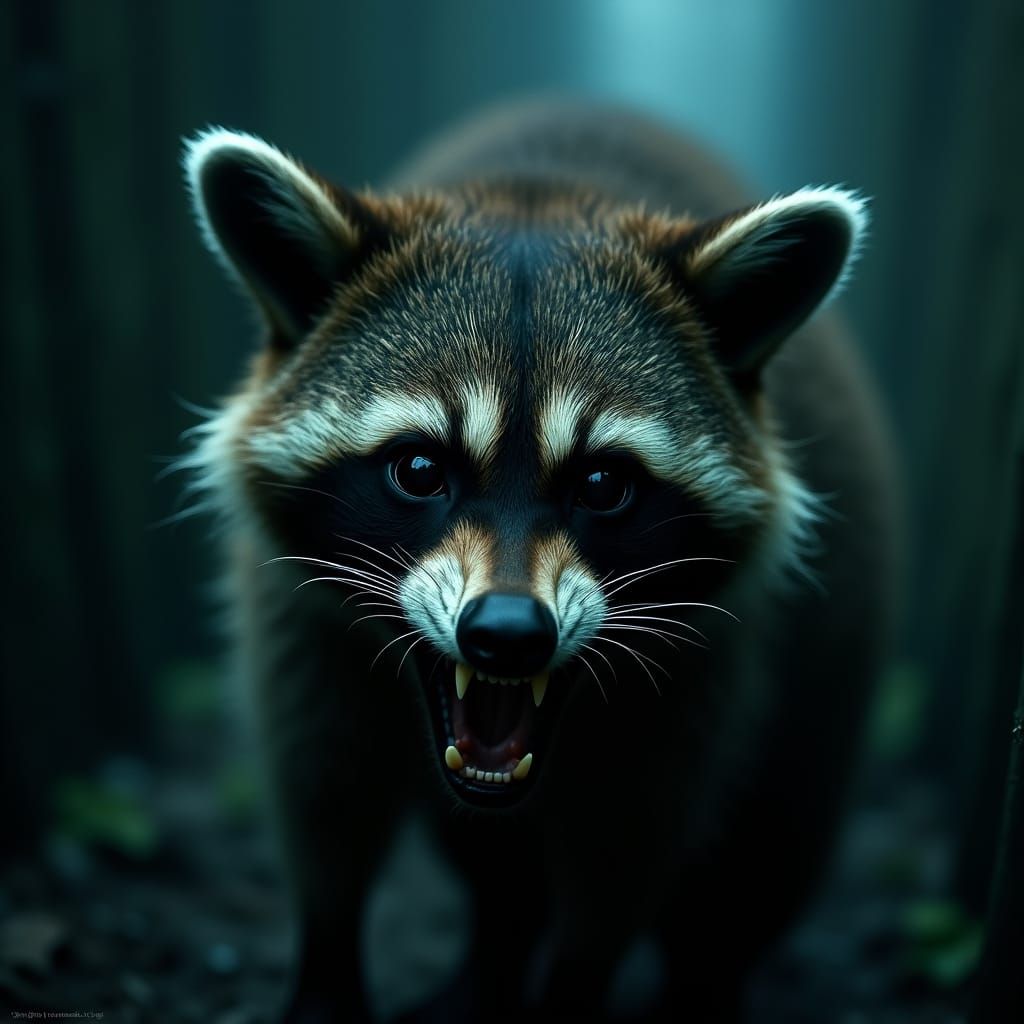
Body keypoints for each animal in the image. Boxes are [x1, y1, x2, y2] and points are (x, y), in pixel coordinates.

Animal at [182, 102, 896, 1022]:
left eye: (602, 484)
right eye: (420, 470)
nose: (509, 634)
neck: (541, 195)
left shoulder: (704, 667)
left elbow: (627, 845)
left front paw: (577, 982)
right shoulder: (298, 619)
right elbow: (324, 785)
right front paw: (329, 962)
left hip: (827, 675)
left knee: (764, 856)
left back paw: (706, 976)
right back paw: (494, 949)